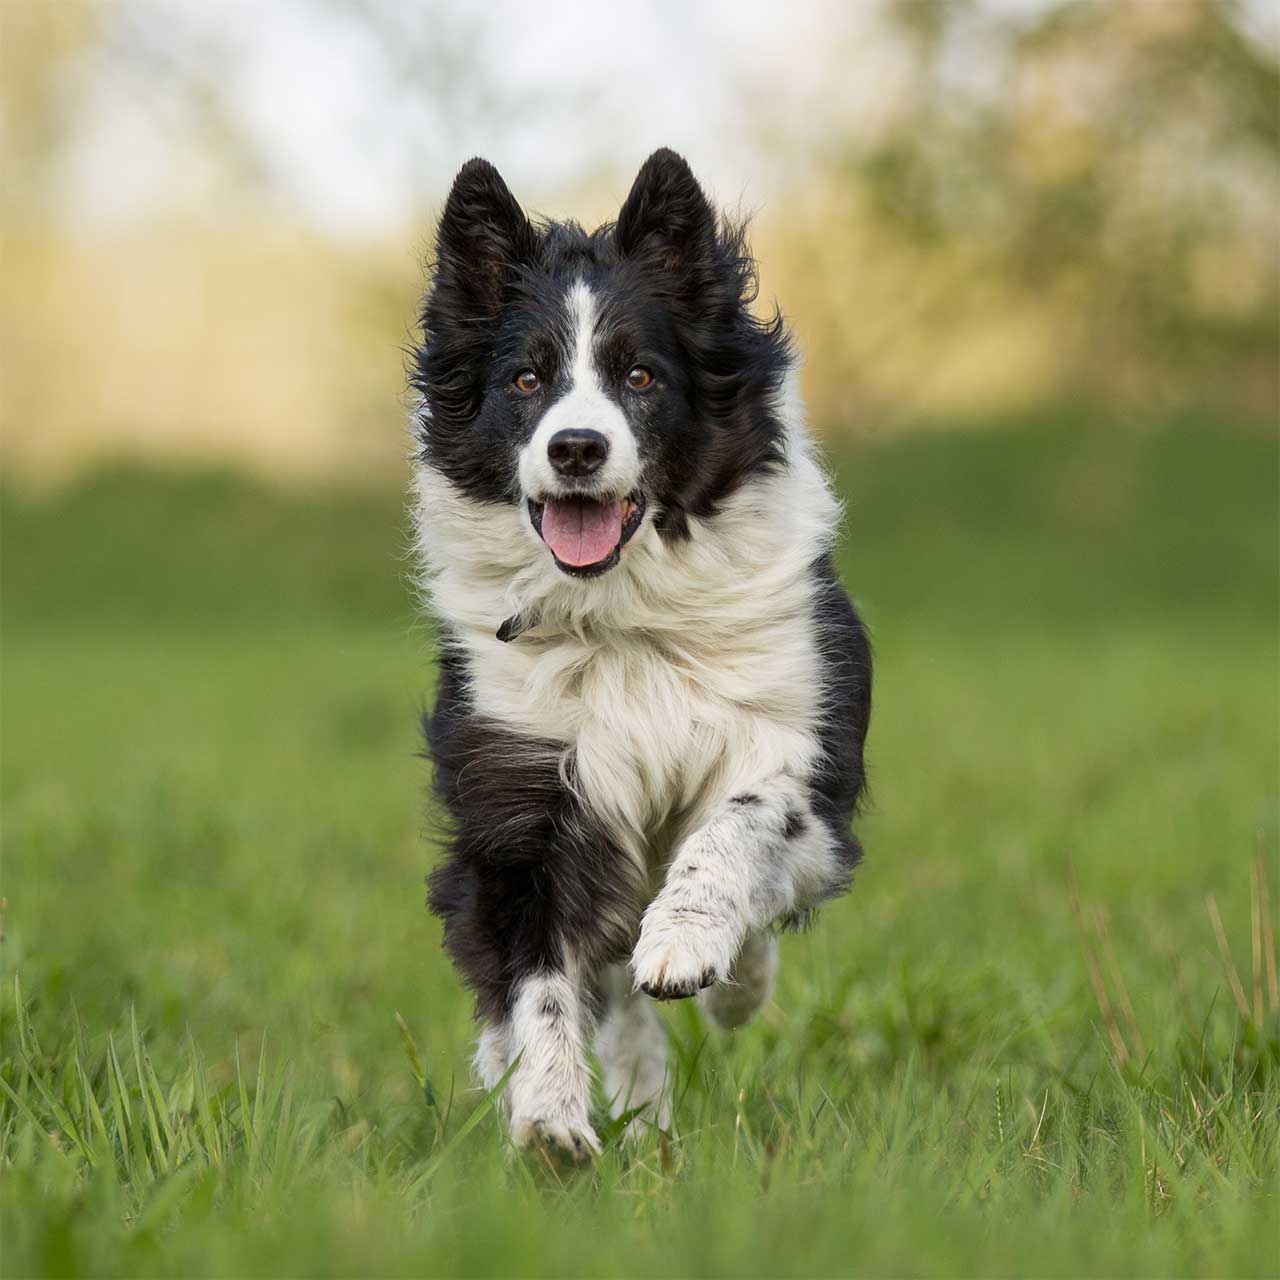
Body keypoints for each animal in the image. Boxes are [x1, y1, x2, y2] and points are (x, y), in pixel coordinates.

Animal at [409, 147, 870, 1162]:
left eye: (641, 376)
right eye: (526, 381)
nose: (578, 448)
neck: (622, 614)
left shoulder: (800, 744)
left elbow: (739, 826)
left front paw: (690, 946)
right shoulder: (522, 794)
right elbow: (538, 979)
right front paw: (548, 1118)